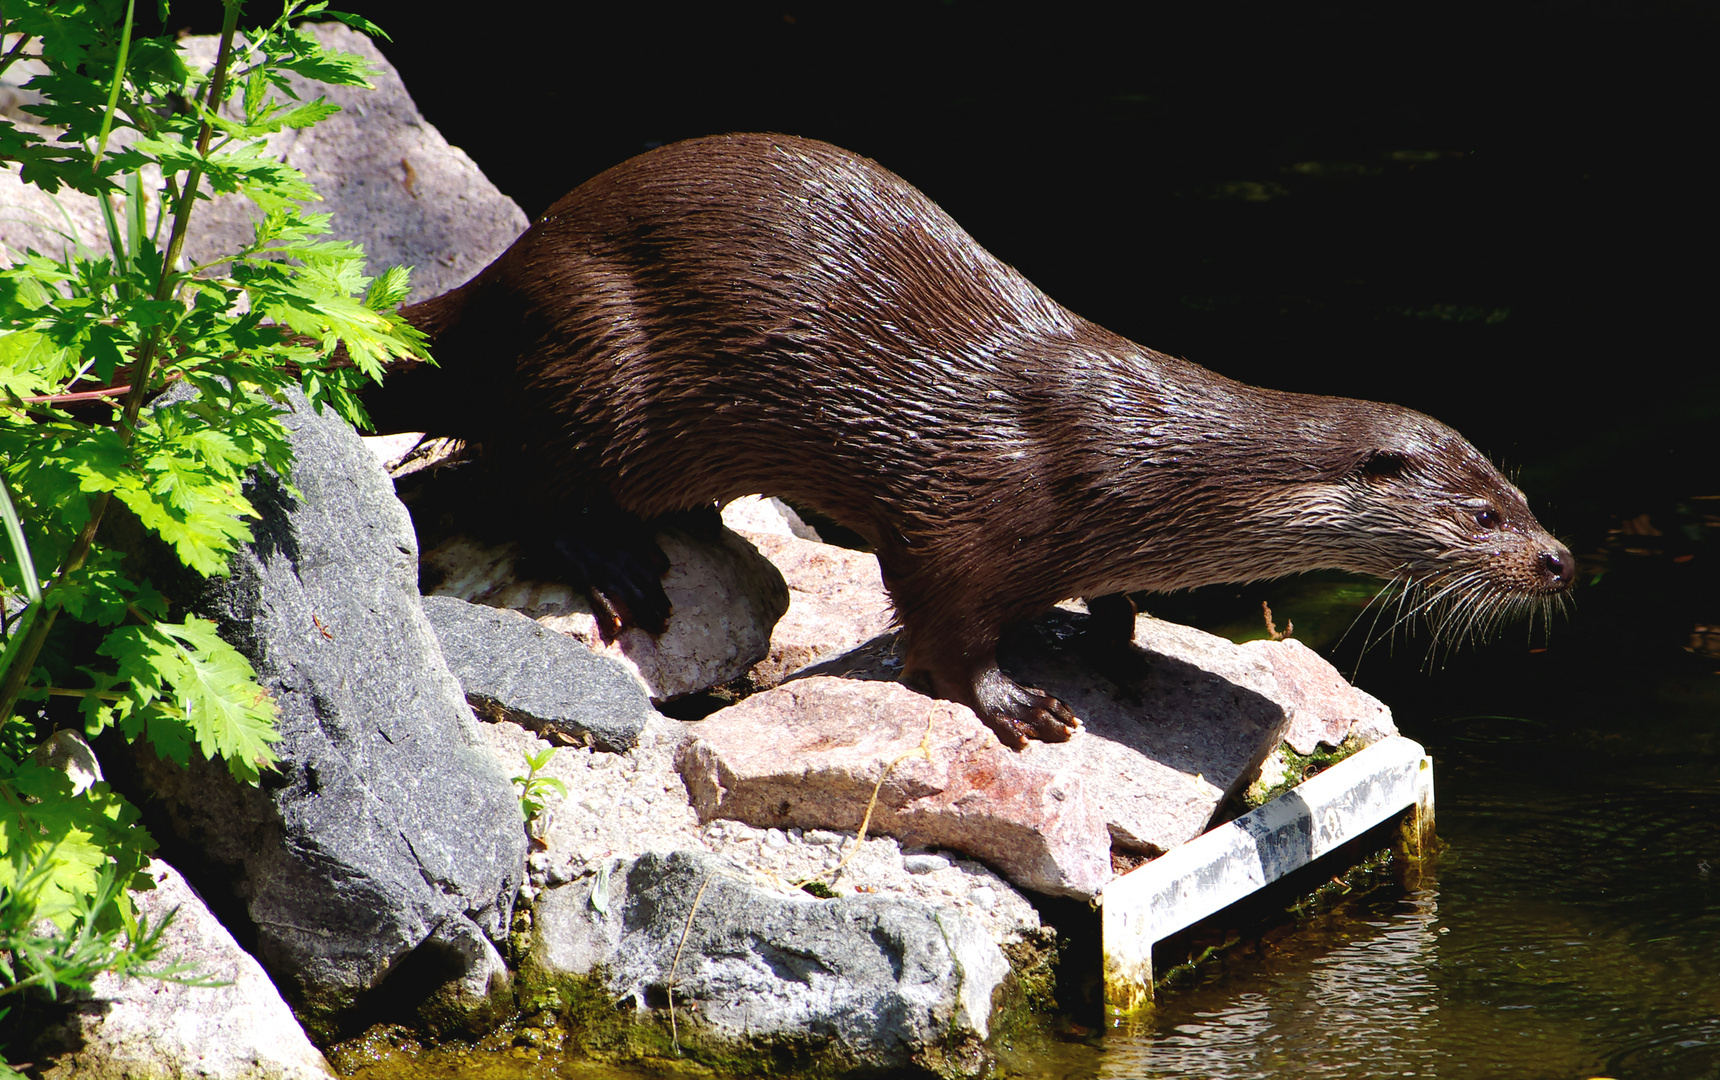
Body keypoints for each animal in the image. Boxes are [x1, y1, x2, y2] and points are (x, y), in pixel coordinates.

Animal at [369, 130, 1575, 746]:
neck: (1146, 461)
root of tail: (502, 276)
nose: (1560, 559)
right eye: (1483, 515)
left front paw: (1117, 643)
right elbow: (943, 624)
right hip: (591, 349)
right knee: (525, 474)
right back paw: (617, 563)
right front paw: (1014, 701)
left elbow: (1106, 603)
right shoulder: (963, 511)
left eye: (1522, 498)